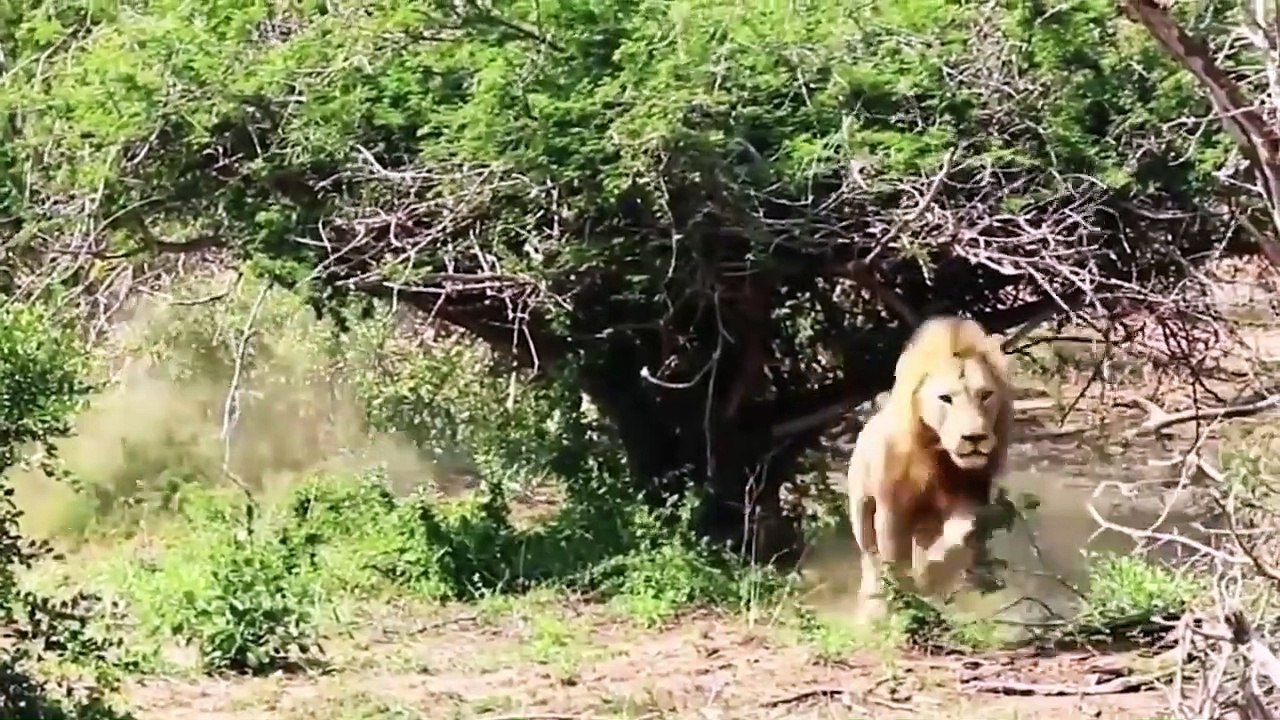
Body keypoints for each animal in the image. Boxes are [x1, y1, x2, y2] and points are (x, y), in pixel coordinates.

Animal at [845, 315, 1014, 620]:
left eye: (985, 395)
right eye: (946, 398)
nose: (974, 438)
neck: (937, 455)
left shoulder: (971, 496)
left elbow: (963, 534)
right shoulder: (891, 512)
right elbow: (892, 560)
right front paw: (899, 605)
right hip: (862, 509)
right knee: (870, 558)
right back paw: (873, 602)